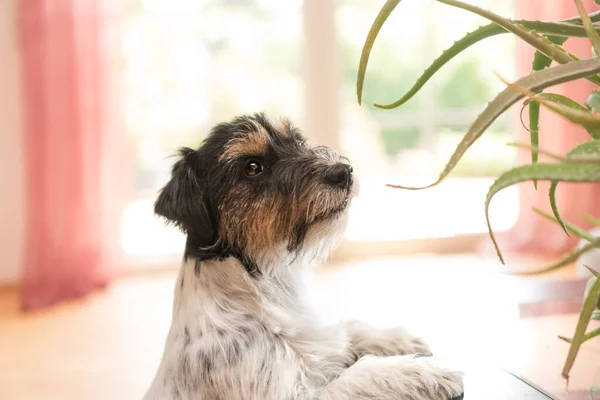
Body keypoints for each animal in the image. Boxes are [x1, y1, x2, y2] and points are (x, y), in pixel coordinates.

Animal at [144, 113, 464, 400]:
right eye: (252, 167)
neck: (263, 287)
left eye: (296, 140)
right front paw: (426, 372)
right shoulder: (292, 394)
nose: (343, 171)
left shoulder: (321, 338)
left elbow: (348, 328)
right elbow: (363, 374)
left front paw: (396, 339)